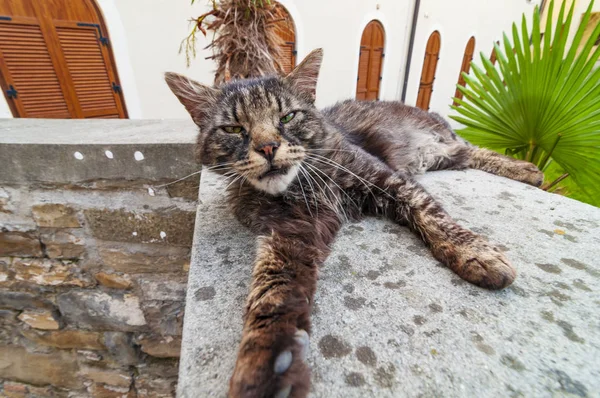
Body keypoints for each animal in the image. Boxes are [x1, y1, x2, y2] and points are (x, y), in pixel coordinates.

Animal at [164, 49, 544, 398]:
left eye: (287, 116)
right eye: (233, 129)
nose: (269, 147)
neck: (301, 185)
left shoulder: (388, 180)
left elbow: (432, 215)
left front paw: (475, 252)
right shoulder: (290, 232)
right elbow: (272, 294)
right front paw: (268, 363)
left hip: (439, 146)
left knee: (476, 149)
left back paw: (528, 170)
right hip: (438, 156)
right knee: (470, 153)